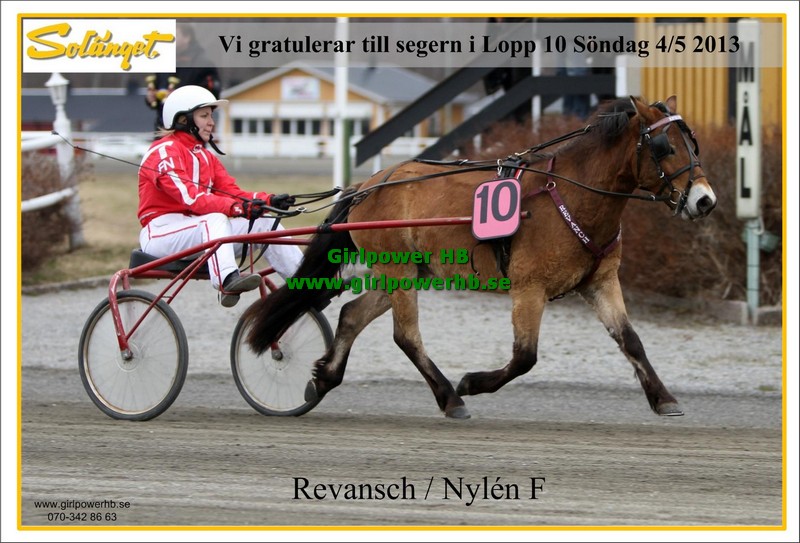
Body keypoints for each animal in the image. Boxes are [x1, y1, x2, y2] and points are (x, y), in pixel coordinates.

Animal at [242, 95, 717, 419]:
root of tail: (368, 184)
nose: (705, 200)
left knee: (353, 315)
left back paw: (327, 376)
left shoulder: (601, 283)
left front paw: (664, 398)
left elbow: (630, 340)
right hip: (399, 269)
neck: (570, 194)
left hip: (407, 270)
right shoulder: (529, 288)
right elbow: (525, 357)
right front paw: (472, 382)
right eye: (665, 147)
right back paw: (450, 397)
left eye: (693, 142)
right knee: (406, 335)